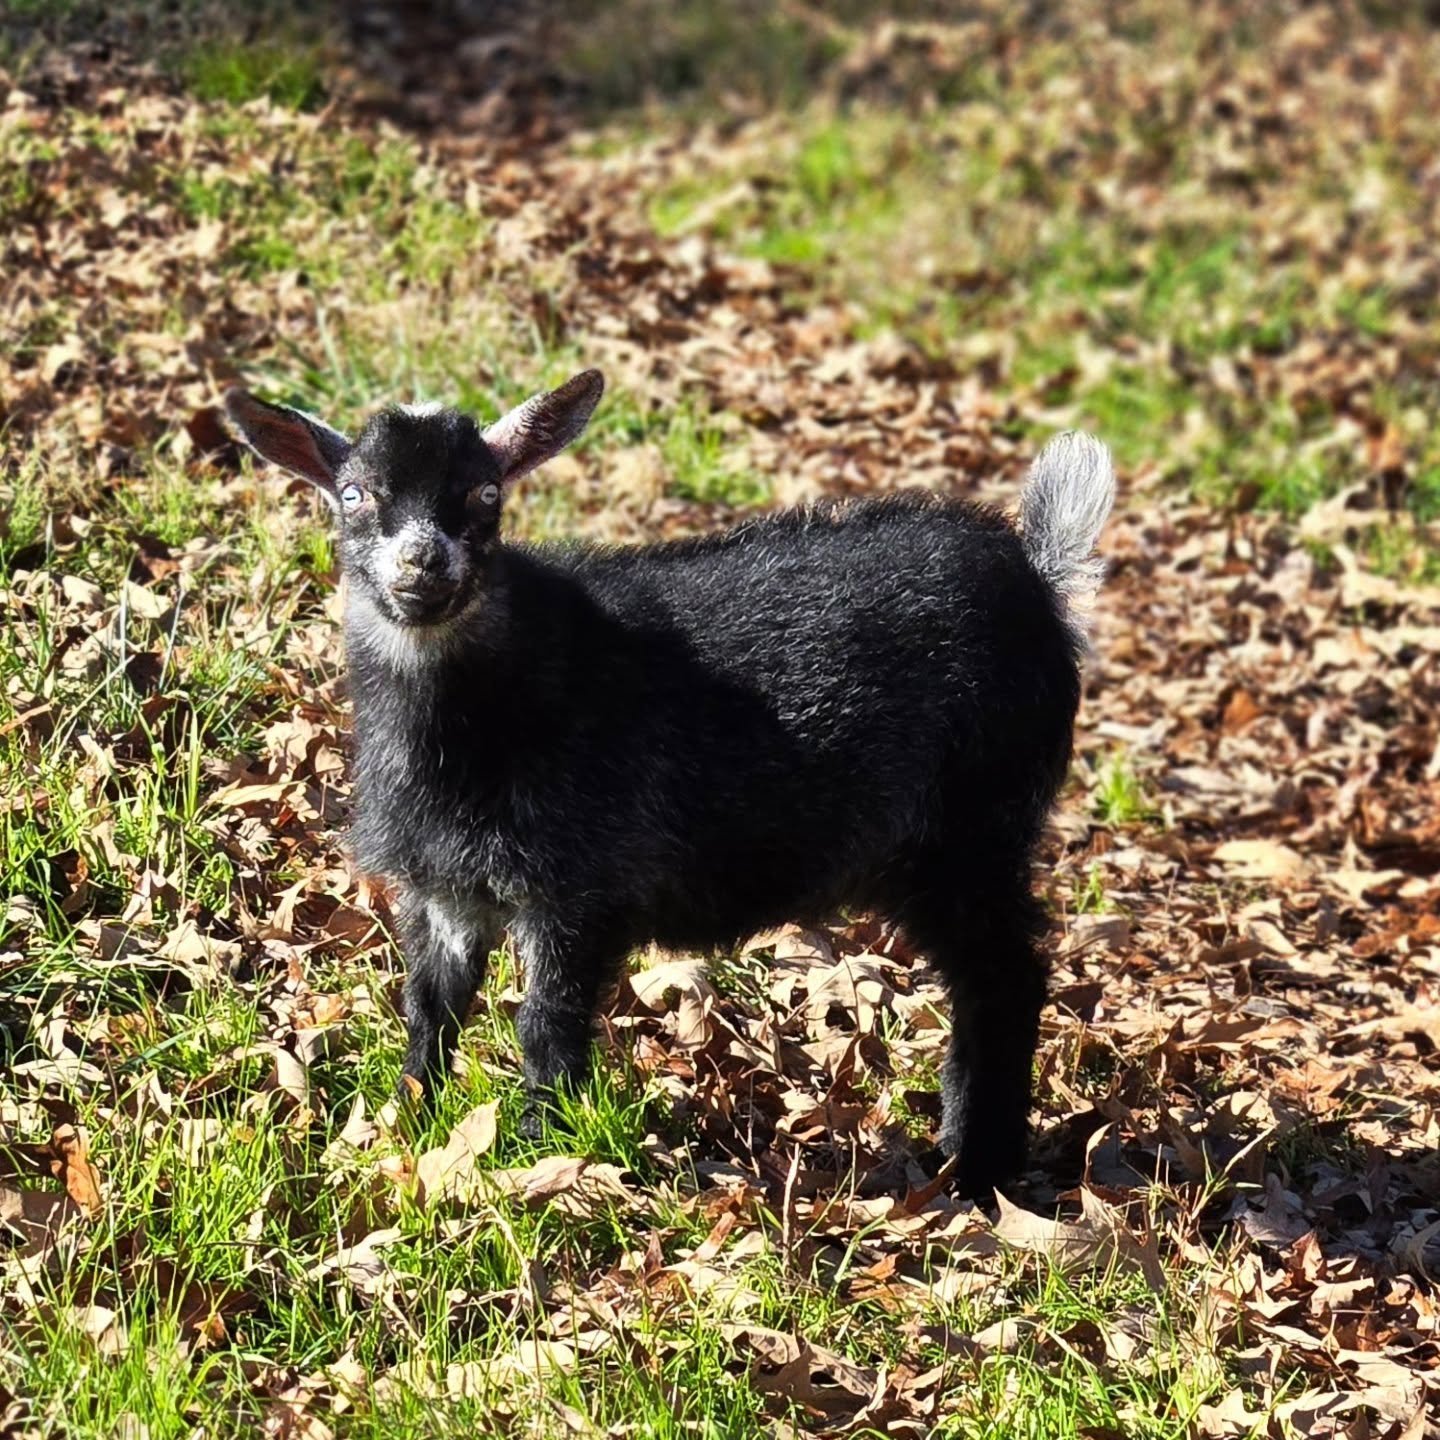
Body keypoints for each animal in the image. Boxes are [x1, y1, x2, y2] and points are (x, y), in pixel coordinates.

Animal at [225, 369, 1113, 1194]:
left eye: (485, 493)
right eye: (353, 494)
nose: (422, 563)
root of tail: (1041, 577)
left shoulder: (577, 886)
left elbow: (547, 1026)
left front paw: (537, 1149)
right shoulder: (442, 890)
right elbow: (427, 1013)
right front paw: (405, 1123)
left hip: (972, 829)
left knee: (1004, 977)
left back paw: (974, 1166)